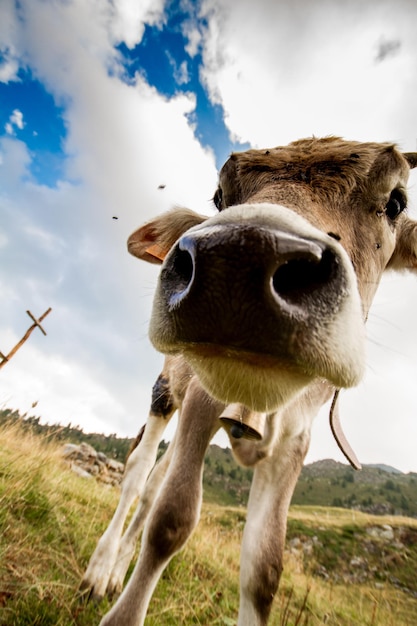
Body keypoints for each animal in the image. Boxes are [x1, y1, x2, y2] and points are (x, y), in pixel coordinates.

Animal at [81, 138, 416, 624]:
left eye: (396, 202)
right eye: (220, 196)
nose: (240, 256)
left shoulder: (295, 441)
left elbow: (265, 569)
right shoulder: (201, 401)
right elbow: (170, 520)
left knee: (154, 482)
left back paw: (116, 569)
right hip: (168, 387)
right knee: (140, 473)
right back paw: (100, 570)